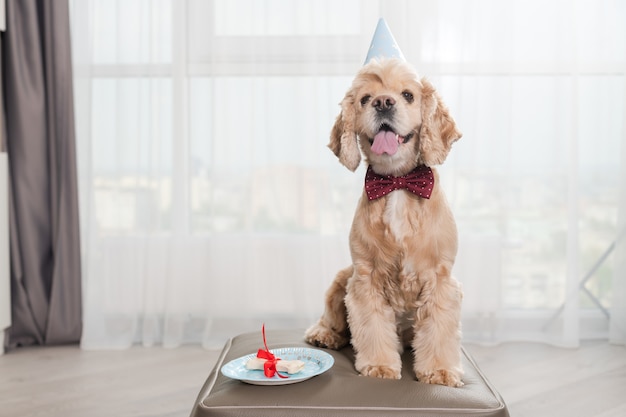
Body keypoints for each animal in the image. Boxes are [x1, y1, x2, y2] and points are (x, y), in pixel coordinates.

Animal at [304, 57, 460, 386]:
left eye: (408, 95)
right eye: (365, 99)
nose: (383, 102)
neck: (398, 183)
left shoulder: (440, 280)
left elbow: (439, 330)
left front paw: (439, 371)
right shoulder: (366, 277)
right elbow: (372, 327)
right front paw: (379, 366)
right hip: (341, 278)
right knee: (330, 318)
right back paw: (325, 334)